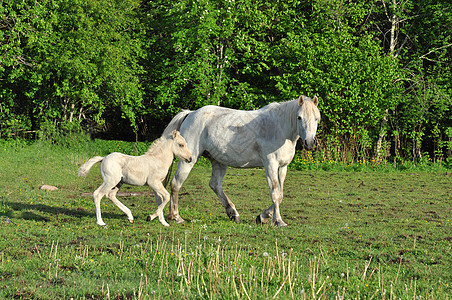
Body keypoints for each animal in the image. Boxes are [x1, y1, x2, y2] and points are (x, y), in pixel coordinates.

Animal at [164, 95, 320, 226]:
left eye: (317, 119)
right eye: (299, 117)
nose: (309, 143)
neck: (280, 128)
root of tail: (190, 114)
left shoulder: (283, 167)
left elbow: (280, 195)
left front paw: (263, 216)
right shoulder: (270, 165)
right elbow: (275, 193)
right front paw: (278, 221)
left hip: (219, 162)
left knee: (215, 185)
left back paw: (233, 214)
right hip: (188, 160)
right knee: (176, 183)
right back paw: (176, 217)